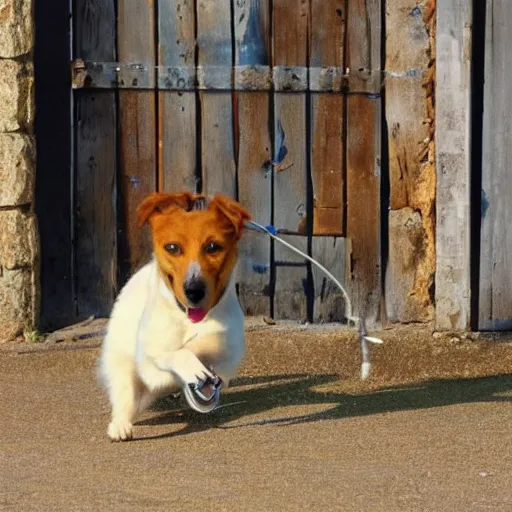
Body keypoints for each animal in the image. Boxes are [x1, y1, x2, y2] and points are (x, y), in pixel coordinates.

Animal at [98, 192, 250, 440]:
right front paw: (190, 363)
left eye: (213, 247)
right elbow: (172, 353)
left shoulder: (227, 352)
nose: (194, 290)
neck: (187, 318)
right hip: (122, 365)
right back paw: (120, 425)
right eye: (172, 247)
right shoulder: (149, 364)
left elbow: (209, 343)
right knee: (125, 396)